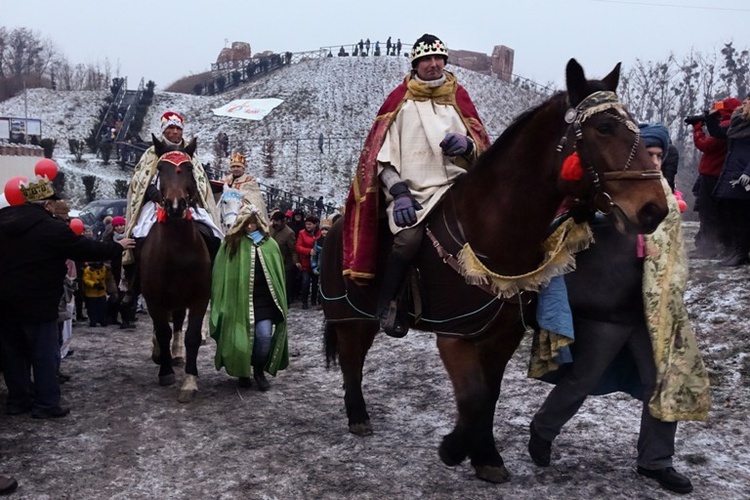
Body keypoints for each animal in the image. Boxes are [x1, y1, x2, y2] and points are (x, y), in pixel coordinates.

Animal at [140, 136, 212, 402]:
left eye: (189, 168)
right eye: (161, 169)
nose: (175, 205)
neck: (178, 253)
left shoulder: (200, 296)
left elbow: (192, 336)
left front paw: (189, 381)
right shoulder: (153, 298)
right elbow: (162, 331)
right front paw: (165, 371)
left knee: (179, 321)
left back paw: (177, 353)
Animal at [320, 59, 672, 484]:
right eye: (604, 128)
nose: (654, 209)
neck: (494, 229)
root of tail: (336, 226)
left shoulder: (502, 335)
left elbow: (488, 396)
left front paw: (484, 454)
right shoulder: (455, 335)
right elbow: (472, 397)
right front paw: (456, 448)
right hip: (348, 315)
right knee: (352, 361)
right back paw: (357, 415)